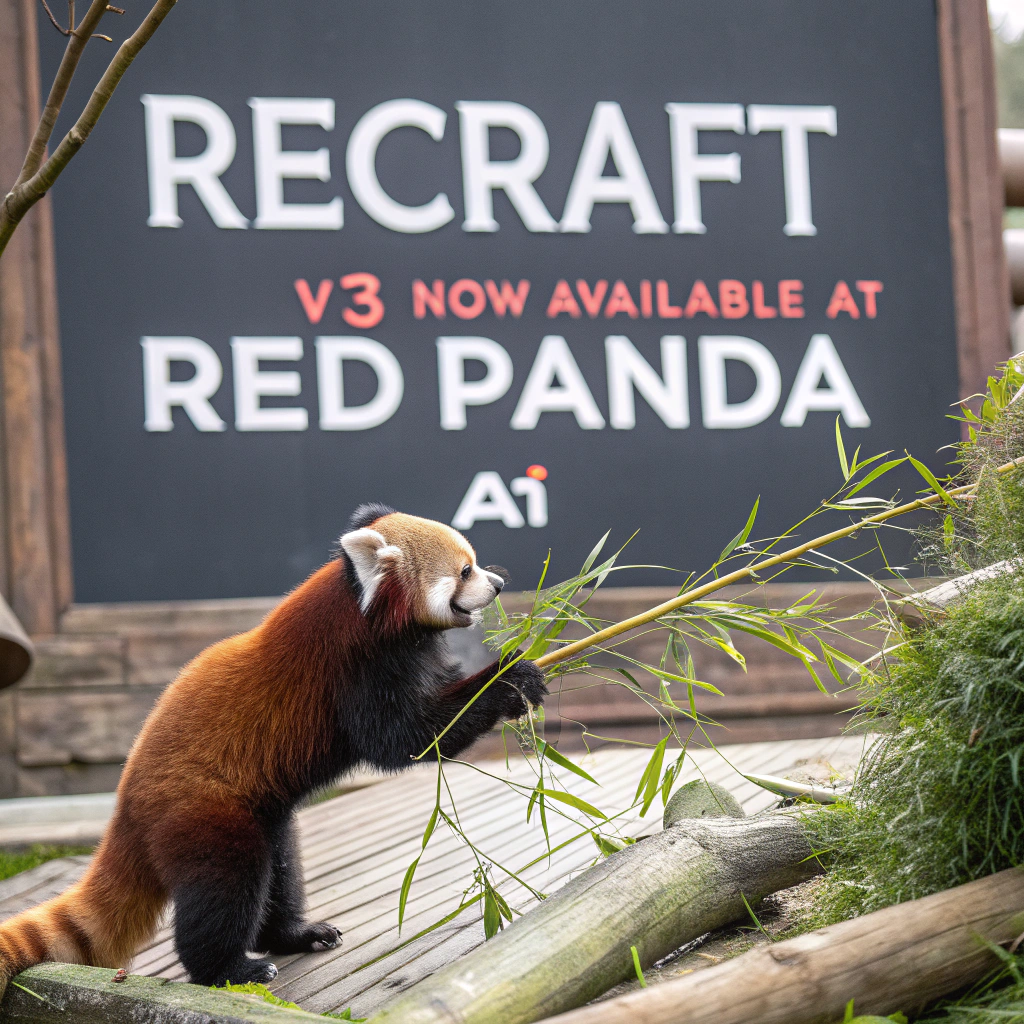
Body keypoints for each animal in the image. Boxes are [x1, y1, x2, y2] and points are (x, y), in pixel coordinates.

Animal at [0, 505, 547, 990]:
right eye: (464, 571)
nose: (498, 585)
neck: (359, 603)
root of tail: (126, 802)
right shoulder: (357, 670)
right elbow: (404, 740)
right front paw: (509, 681)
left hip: (265, 813)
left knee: (280, 871)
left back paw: (294, 933)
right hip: (202, 812)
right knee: (227, 886)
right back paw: (229, 969)